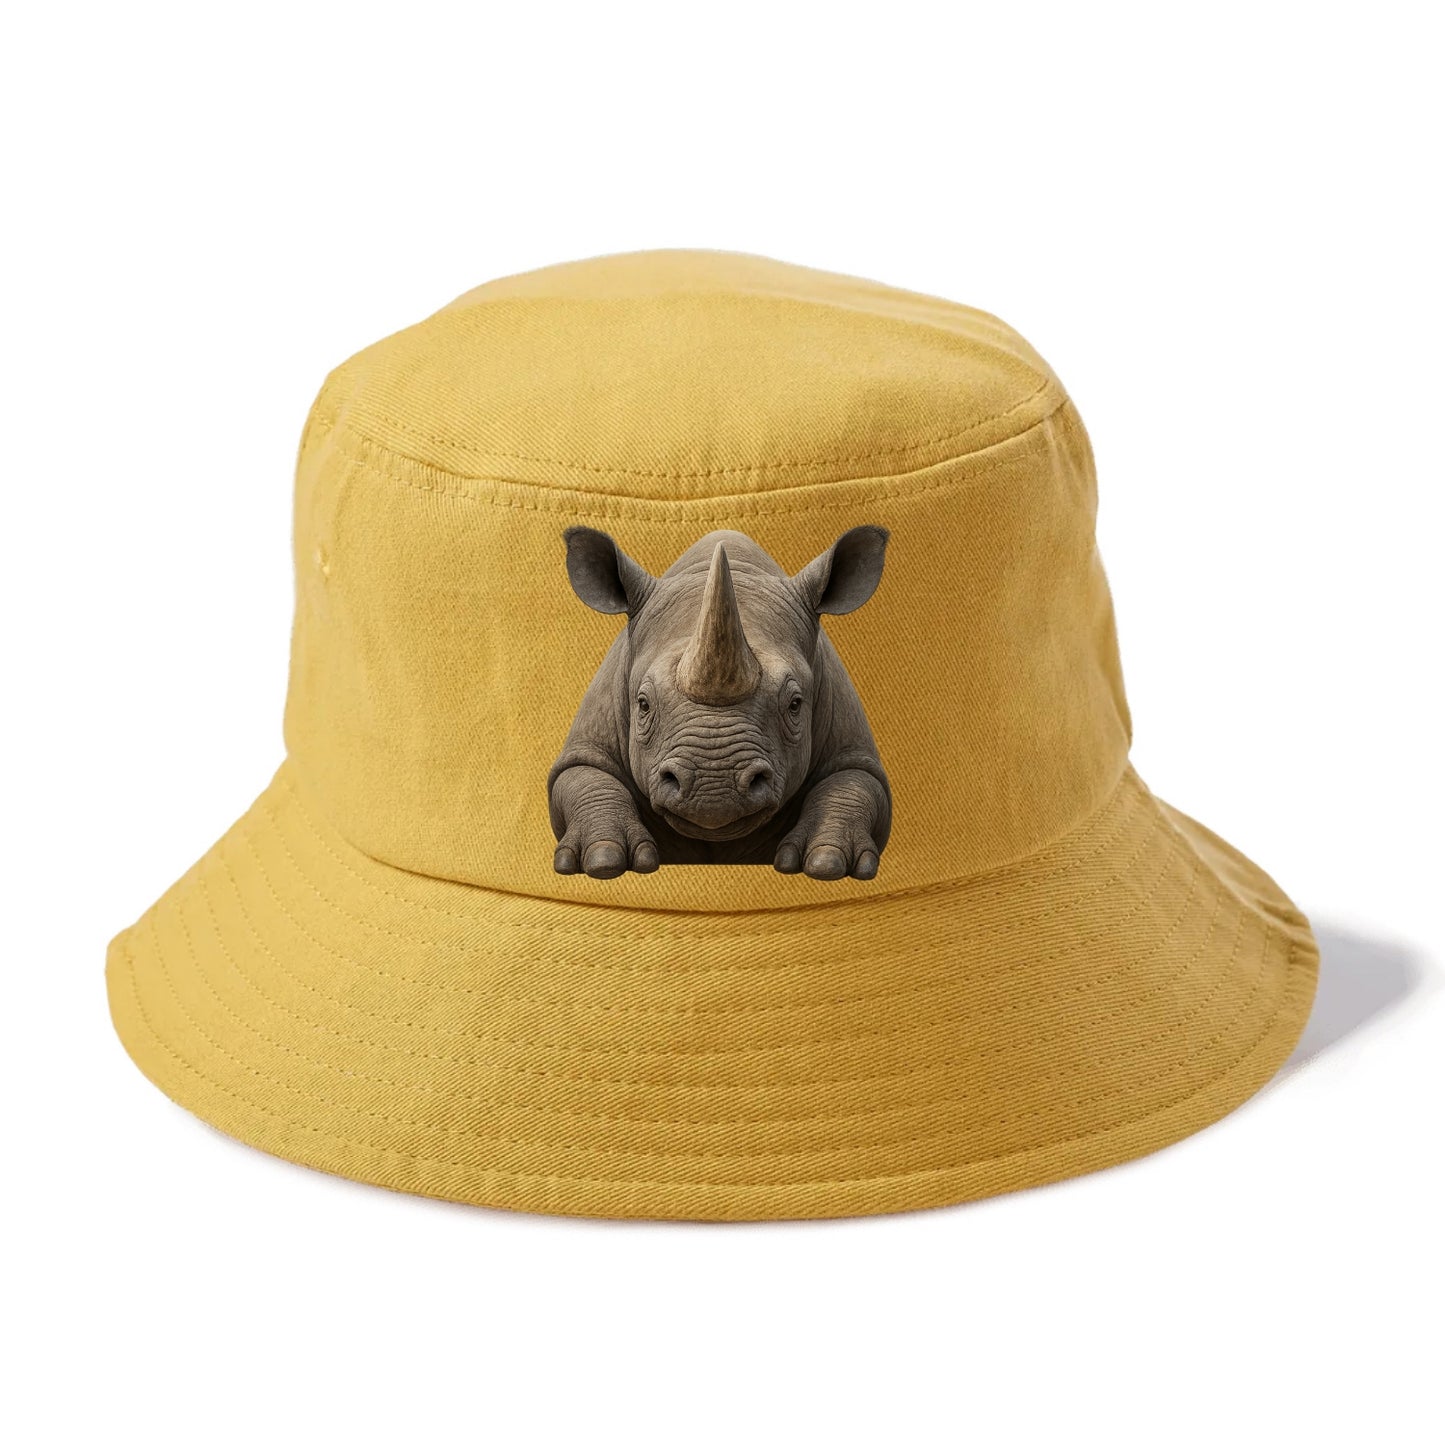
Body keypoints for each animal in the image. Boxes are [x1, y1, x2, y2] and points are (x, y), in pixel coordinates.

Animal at [548, 526, 892, 880]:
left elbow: (853, 782)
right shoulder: (589, 742)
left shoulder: (850, 744)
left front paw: (827, 863)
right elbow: (586, 777)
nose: (714, 789)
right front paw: (603, 861)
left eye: (795, 704)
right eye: (643, 704)